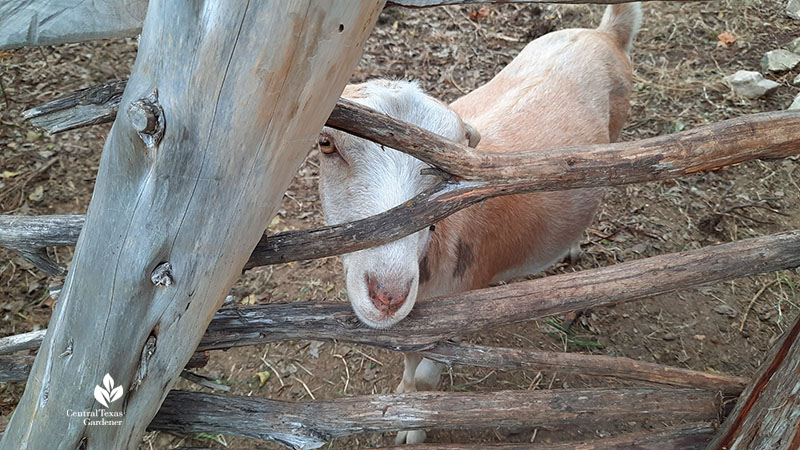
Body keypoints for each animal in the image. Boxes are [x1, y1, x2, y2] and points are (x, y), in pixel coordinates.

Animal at [316, 3, 640, 442]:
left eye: (445, 165)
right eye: (326, 143)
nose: (387, 296)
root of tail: (606, 33)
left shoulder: (458, 312)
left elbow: (427, 379)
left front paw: (414, 428)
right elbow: (409, 366)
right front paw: (401, 400)